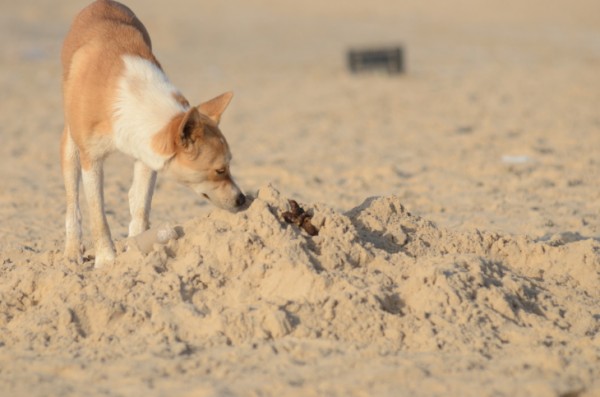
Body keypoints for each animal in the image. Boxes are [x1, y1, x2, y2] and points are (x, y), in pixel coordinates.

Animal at [59, 0, 245, 268]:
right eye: (220, 170)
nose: (242, 199)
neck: (129, 99)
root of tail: (102, 2)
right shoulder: (91, 160)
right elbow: (98, 215)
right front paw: (106, 259)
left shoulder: (147, 156)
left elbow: (140, 208)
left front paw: (136, 251)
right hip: (71, 147)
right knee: (73, 202)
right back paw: (73, 250)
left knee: (134, 198)